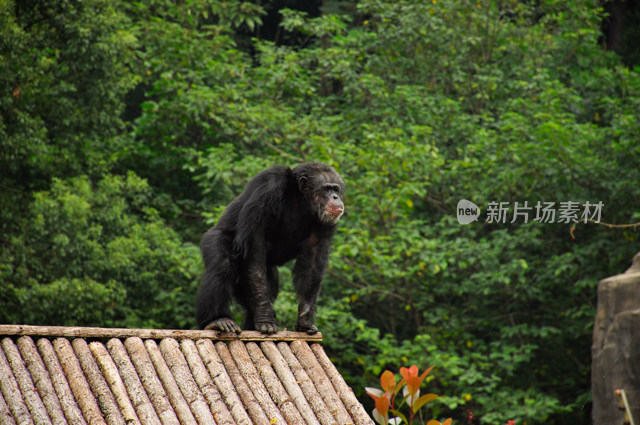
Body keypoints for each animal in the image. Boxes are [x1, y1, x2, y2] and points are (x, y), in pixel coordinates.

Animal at [198, 161, 344, 332]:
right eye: (326, 189)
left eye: (336, 189)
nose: (335, 197)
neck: (300, 200)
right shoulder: (268, 186)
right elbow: (254, 243)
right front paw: (265, 318)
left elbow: (313, 261)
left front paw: (305, 318)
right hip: (213, 240)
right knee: (221, 266)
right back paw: (217, 320)